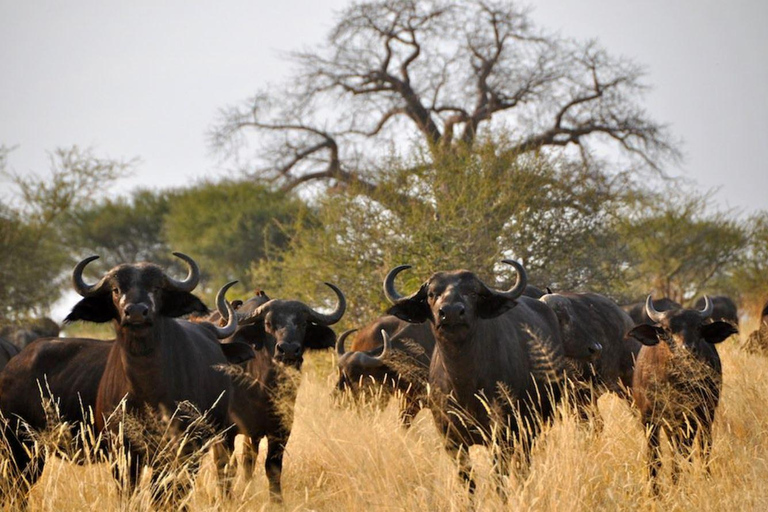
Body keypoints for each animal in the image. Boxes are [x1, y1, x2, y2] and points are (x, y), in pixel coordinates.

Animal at [0, 254, 248, 506]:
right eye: (116, 289)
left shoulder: (182, 450)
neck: (148, 387)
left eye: (156, 287)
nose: (136, 311)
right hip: (18, 446)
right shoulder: (123, 454)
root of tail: (13, 364)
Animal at [210, 286, 344, 502]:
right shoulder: (225, 431)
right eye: (268, 323)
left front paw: (277, 501)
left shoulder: (281, 430)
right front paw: (226, 500)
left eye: (303, 323)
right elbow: (226, 467)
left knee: (248, 460)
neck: (261, 387)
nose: (288, 350)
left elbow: (272, 468)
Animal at [382, 260, 564, 500]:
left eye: (472, 292)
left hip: (533, 427)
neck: (464, 382)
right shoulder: (451, 439)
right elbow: (467, 482)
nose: (450, 312)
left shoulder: (502, 436)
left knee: (523, 465)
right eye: (432, 294)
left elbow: (499, 479)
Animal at [632, 296, 736, 492]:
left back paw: (704, 476)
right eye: (667, 329)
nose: (687, 349)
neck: (674, 382)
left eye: (698, 327)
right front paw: (655, 491)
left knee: (703, 446)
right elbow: (654, 456)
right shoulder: (648, 417)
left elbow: (683, 452)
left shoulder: (691, 416)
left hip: (706, 415)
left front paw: (677, 483)